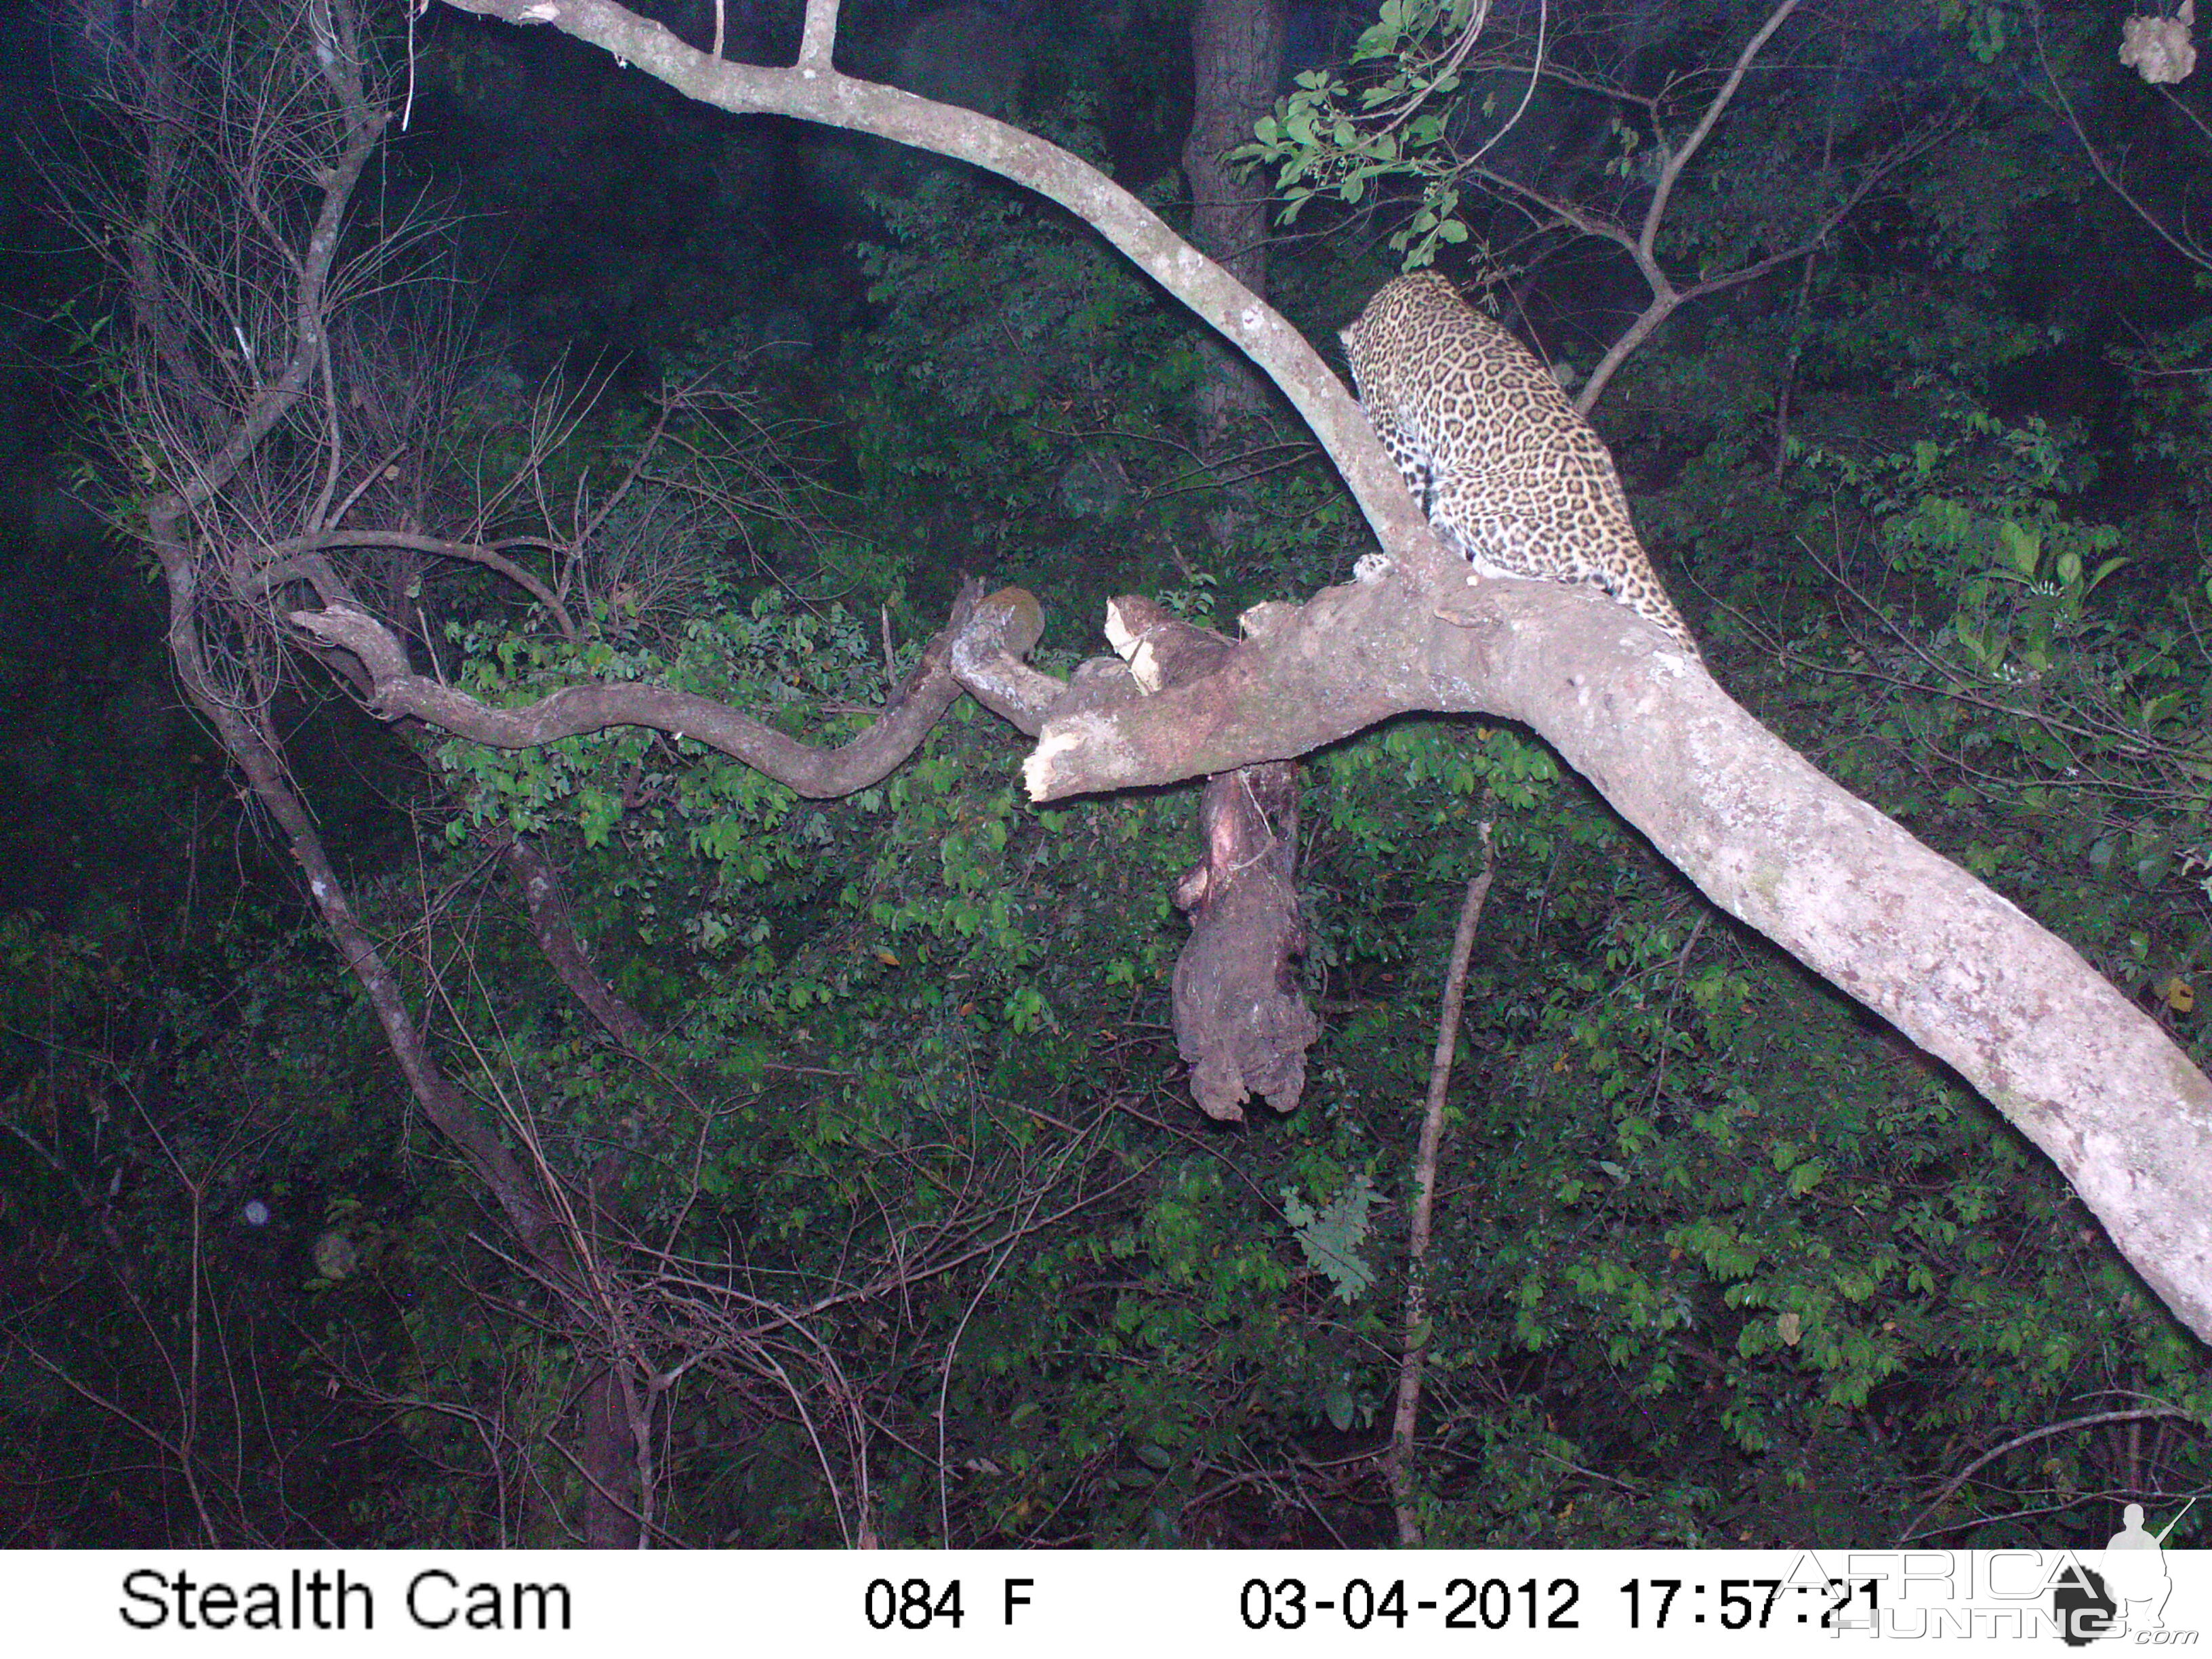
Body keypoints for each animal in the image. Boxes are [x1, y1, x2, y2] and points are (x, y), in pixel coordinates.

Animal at [1336, 270, 1698, 659]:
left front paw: (1383, 561)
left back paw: (1488, 565)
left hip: (1461, 490)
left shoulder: (1397, 432)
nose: (1355, 391)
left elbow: (1398, 500)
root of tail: (1617, 523)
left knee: (1582, 575)